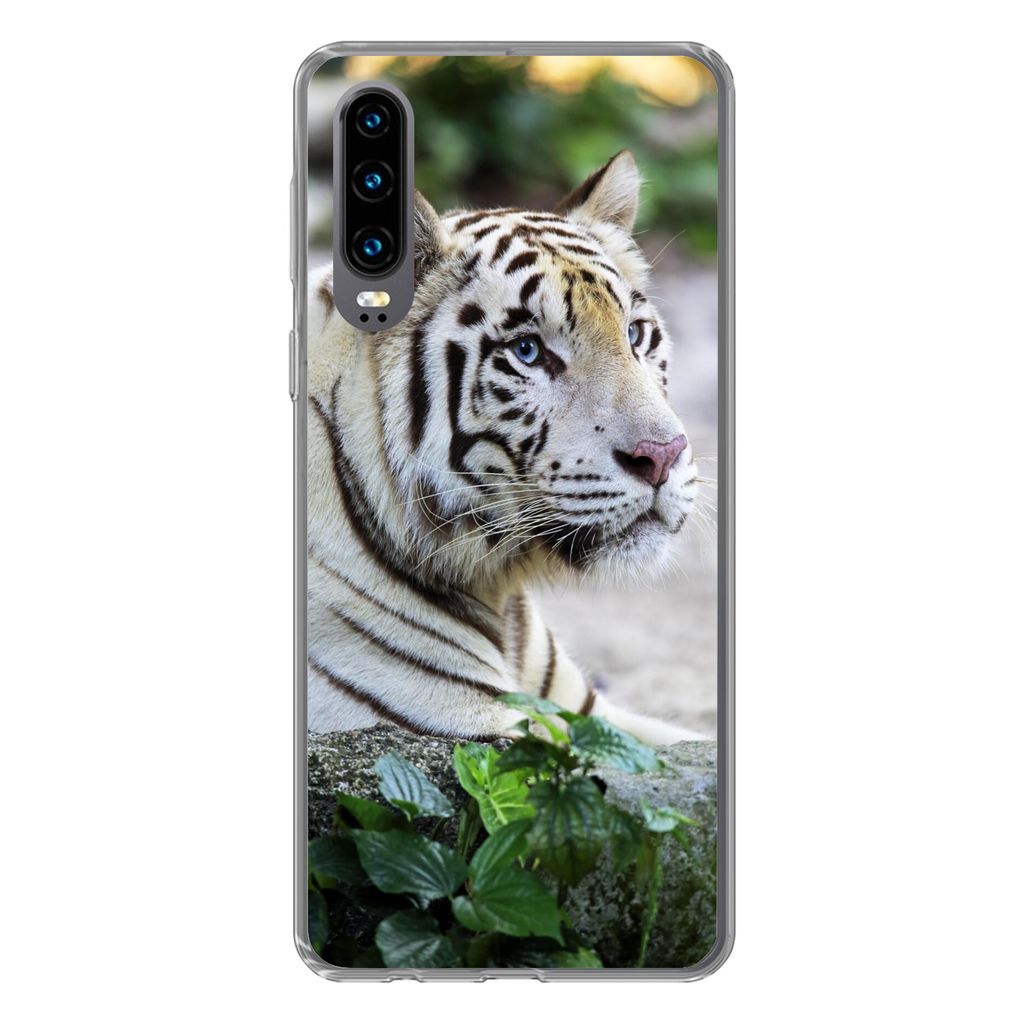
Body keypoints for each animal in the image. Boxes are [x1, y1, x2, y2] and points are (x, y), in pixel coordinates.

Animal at [307, 150, 702, 746]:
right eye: (528, 351)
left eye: (635, 334)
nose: (663, 456)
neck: (498, 586)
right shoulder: (478, 732)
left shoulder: (593, 716)